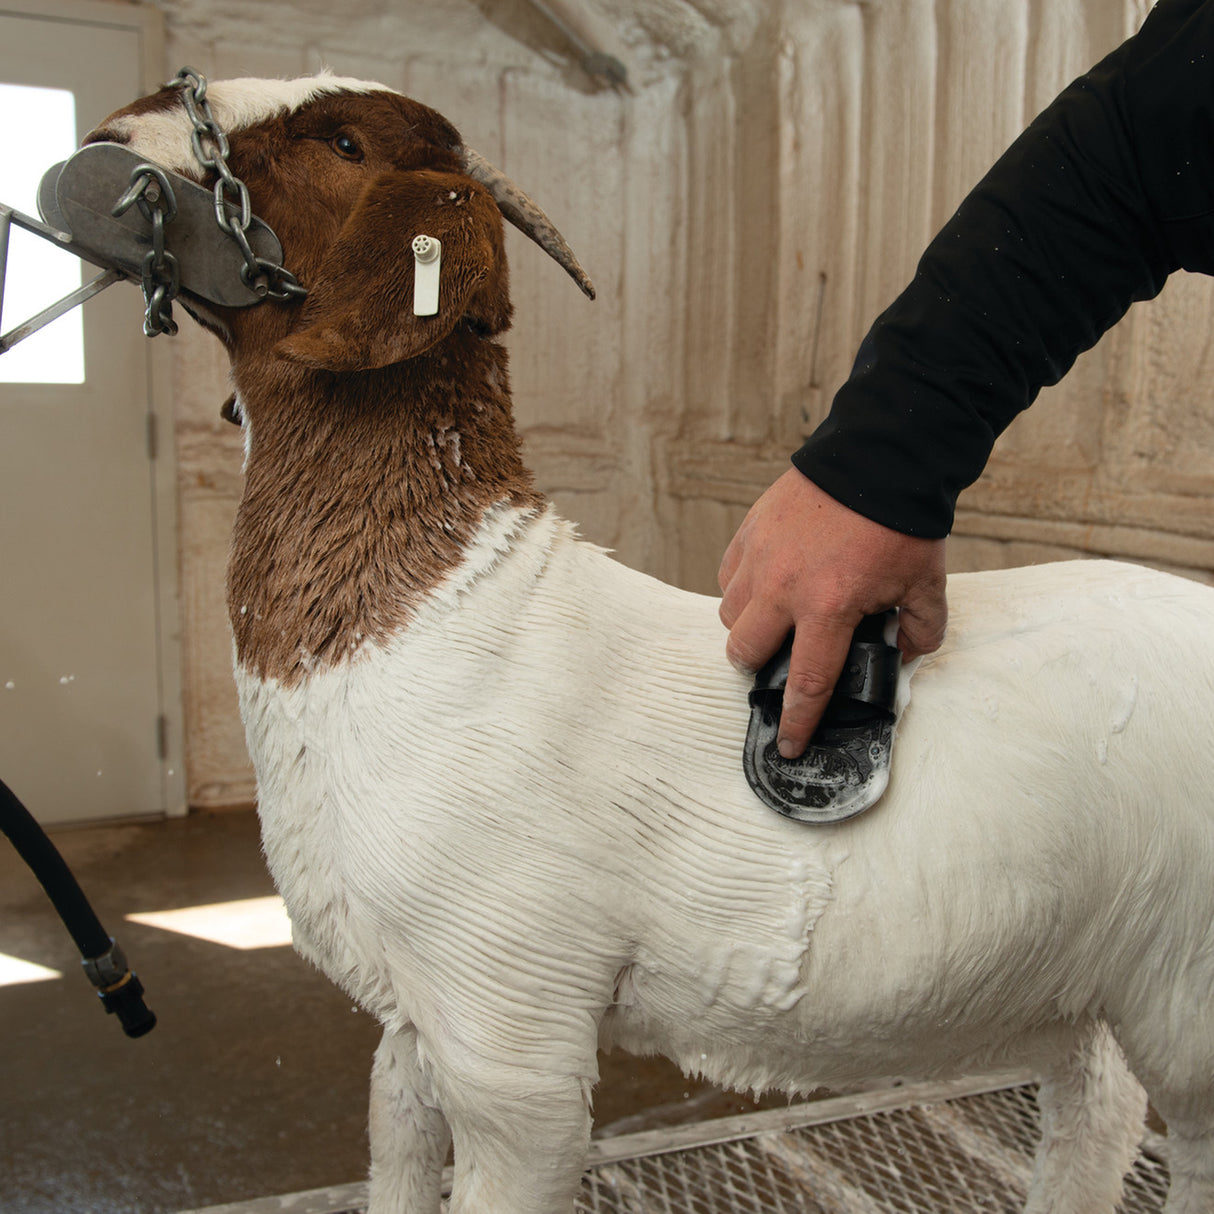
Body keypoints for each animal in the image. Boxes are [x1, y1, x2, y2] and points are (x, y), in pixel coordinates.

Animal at [92, 78, 1214, 1214]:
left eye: (343, 142)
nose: (118, 122)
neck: (445, 612)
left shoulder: (511, 1033)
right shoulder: (411, 1019)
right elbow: (394, 1150)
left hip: (1187, 997)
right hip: (1075, 981)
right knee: (1095, 1104)